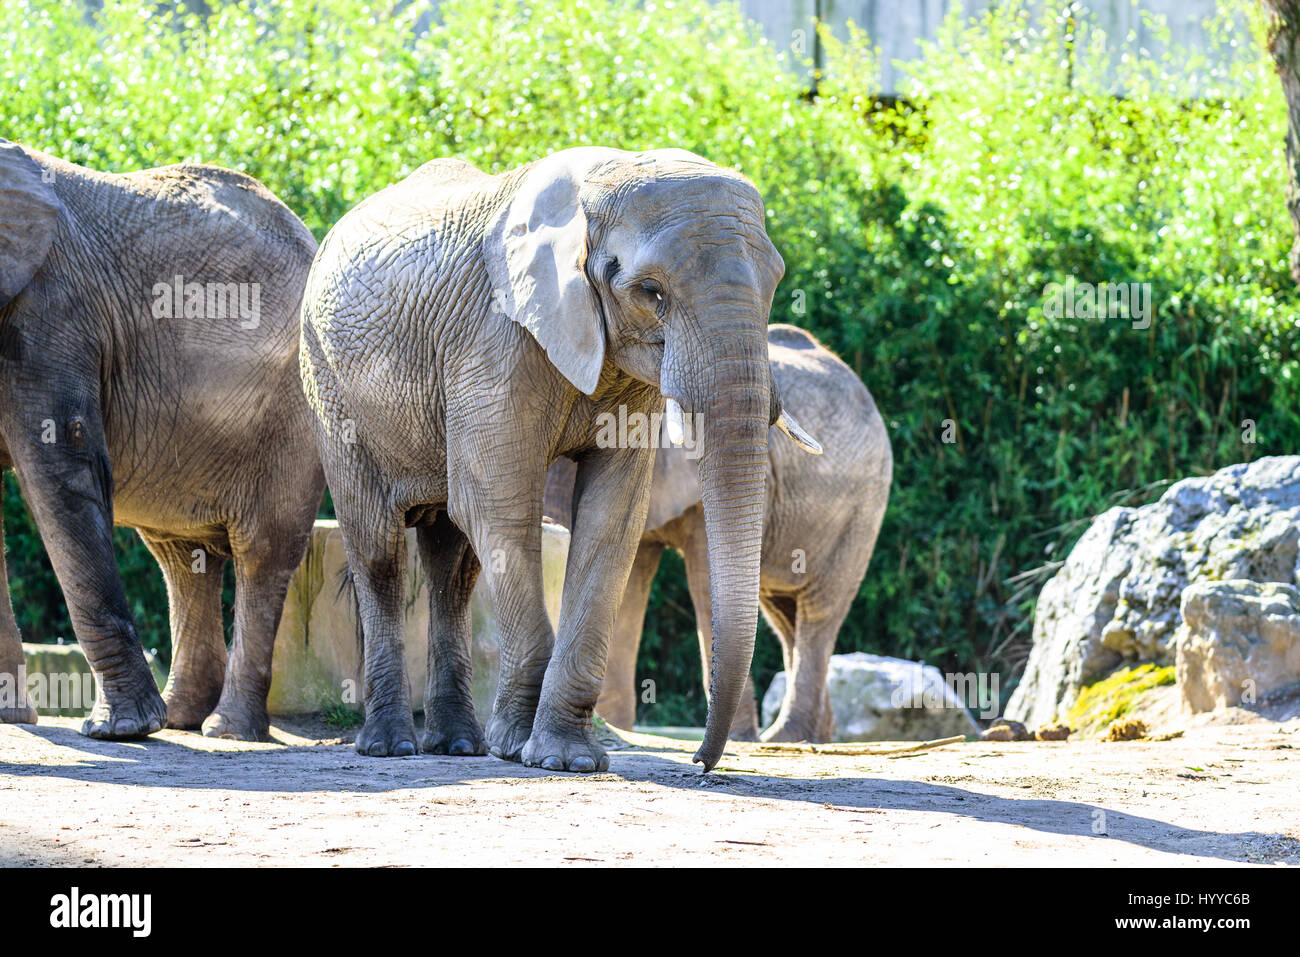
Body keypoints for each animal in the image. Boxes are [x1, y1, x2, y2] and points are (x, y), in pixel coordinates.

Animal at [0, 140, 323, 738]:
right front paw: (10, 718)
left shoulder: (52, 316)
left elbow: (61, 470)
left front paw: (119, 732)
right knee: (181, 555)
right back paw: (182, 718)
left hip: (295, 411)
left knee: (261, 552)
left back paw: (225, 729)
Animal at [299, 151, 816, 780]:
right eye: (650, 291)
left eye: (775, 283)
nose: (698, 762)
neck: (604, 179)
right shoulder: (494, 338)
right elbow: (496, 507)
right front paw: (531, 752)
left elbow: (612, 517)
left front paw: (567, 759)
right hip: (328, 386)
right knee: (378, 549)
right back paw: (390, 746)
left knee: (452, 565)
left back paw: (458, 745)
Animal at [543, 325, 889, 743]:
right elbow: (629, 578)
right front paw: (617, 726)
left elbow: (706, 577)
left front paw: (738, 740)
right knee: (786, 616)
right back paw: (814, 739)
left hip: (863, 508)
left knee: (819, 612)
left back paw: (784, 738)